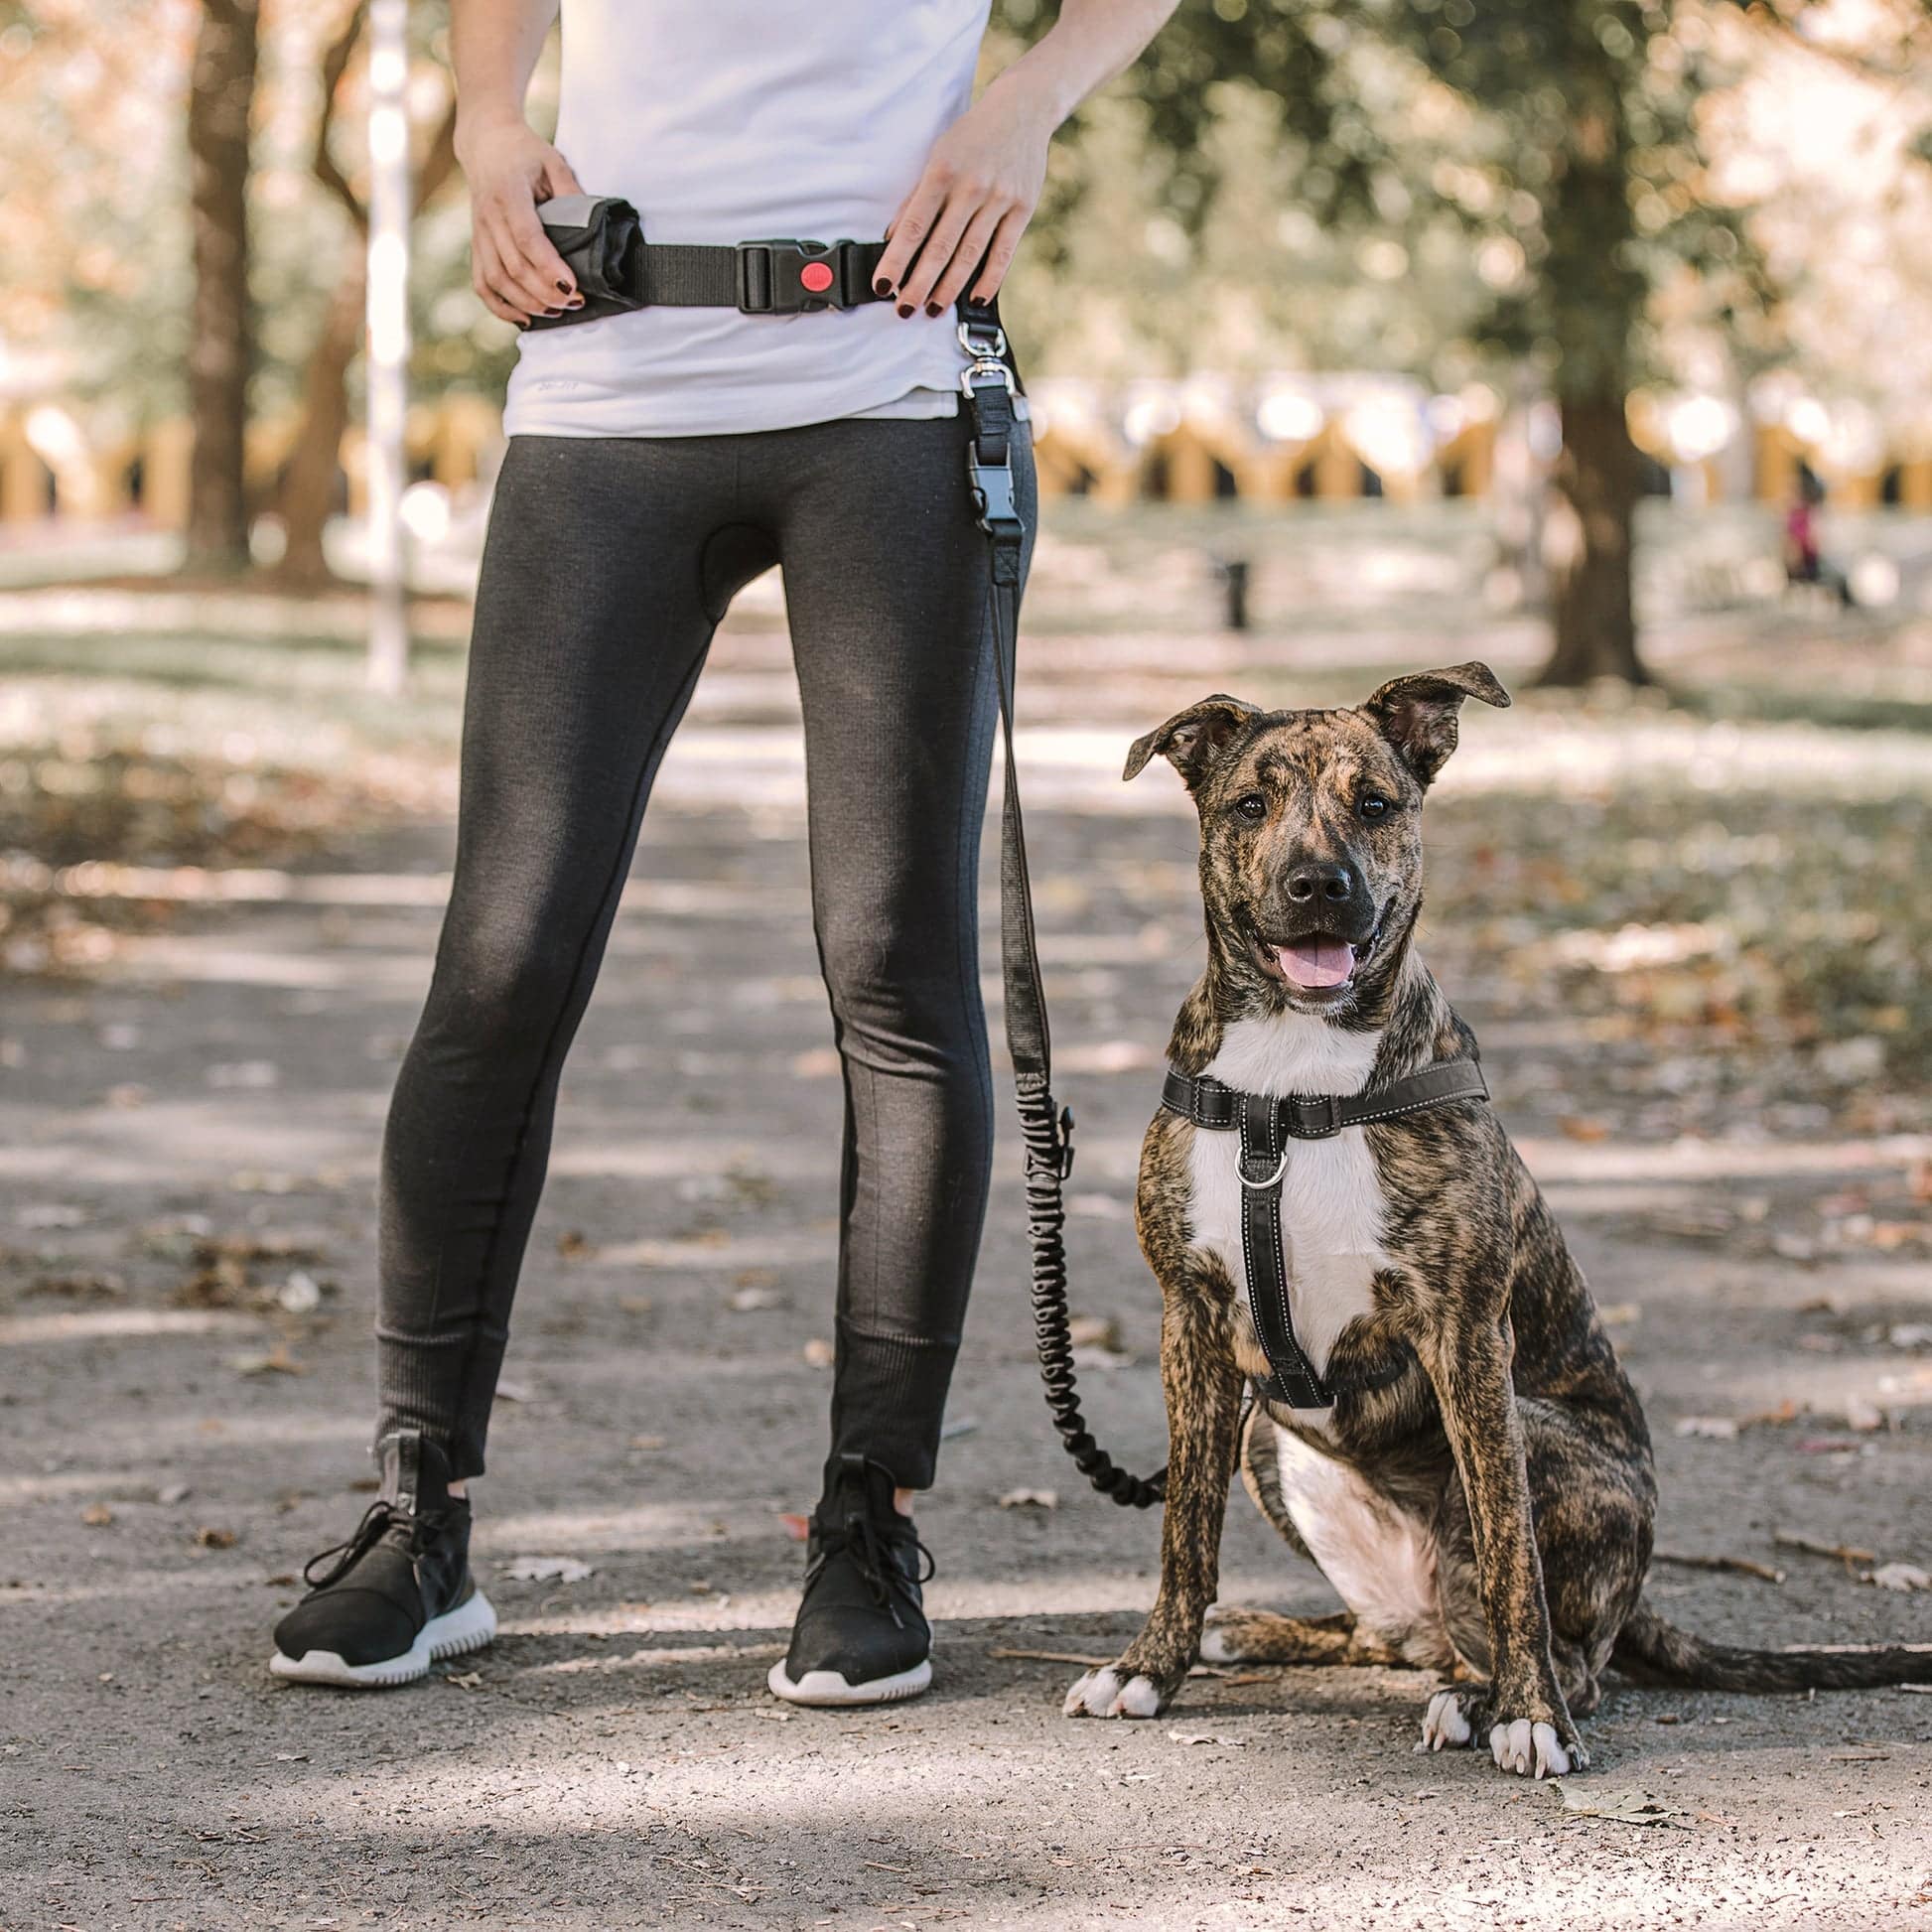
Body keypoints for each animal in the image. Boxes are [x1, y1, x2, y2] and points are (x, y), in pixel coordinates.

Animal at [1066, 668, 1924, 1777]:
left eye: (1373, 804)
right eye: (1248, 805)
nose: (1316, 885)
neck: (1291, 1082)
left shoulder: (1466, 1334)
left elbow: (1509, 1547)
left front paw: (1530, 1715)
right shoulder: (1194, 1322)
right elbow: (1184, 1528)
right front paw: (1148, 1665)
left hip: (1542, 1439)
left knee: (1550, 1640)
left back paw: (1487, 1696)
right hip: (1266, 1434)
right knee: (1387, 1635)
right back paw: (1257, 1631)